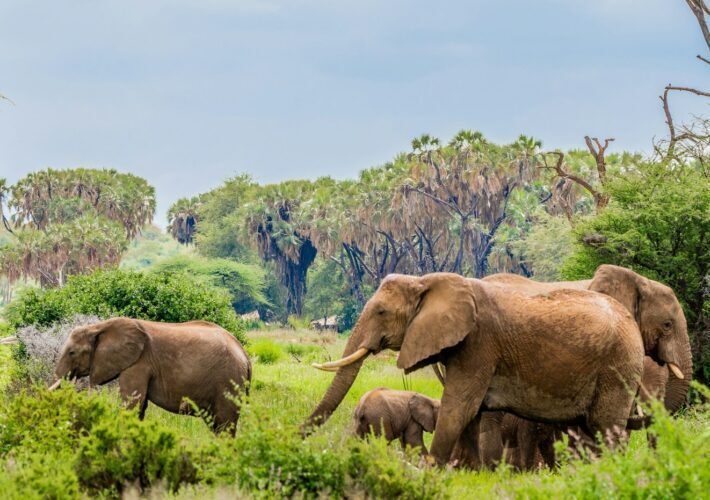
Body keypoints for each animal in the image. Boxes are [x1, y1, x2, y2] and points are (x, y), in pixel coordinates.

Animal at [50, 317, 251, 435]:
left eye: (72, 353)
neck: (99, 326)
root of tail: (245, 355)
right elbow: (139, 406)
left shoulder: (138, 363)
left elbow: (132, 404)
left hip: (228, 381)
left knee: (224, 424)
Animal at [305, 272, 645, 466]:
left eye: (381, 312)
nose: (298, 437)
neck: (427, 281)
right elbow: (471, 413)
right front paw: (470, 473)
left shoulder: (479, 345)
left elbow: (460, 407)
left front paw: (432, 470)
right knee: (587, 430)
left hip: (617, 367)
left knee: (607, 428)